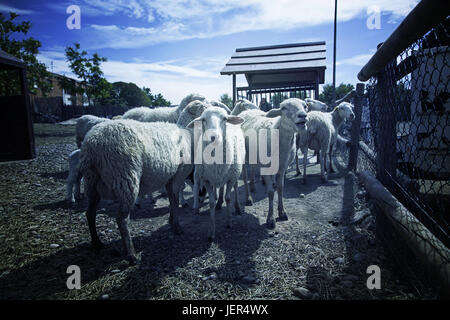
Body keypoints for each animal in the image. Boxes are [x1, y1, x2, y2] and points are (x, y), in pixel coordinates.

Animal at [78, 119, 193, 264]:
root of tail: (92, 145)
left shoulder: (170, 177)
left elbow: (173, 200)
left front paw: (171, 220)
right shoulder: (179, 174)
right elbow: (175, 201)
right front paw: (177, 227)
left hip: (91, 182)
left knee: (90, 213)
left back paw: (97, 243)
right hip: (125, 178)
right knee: (121, 219)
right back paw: (131, 255)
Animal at [186, 107, 244, 240]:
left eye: (225, 119)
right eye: (203, 119)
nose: (213, 137)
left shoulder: (231, 178)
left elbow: (228, 198)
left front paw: (229, 222)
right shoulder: (207, 179)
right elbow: (211, 203)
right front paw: (211, 232)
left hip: (235, 172)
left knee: (236, 187)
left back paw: (237, 207)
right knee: (218, 187)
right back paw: (216, 203)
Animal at [239, 97, 310, 228]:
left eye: (305, 106)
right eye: (284, 108)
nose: (303, 115)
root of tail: (245, 112)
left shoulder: (282, 168)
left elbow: (281, 189)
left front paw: (282, 212)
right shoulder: (266, 168)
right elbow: (271, 192)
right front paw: (270, 218)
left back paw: (253, 187)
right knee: (245, 176)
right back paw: (248, 198)